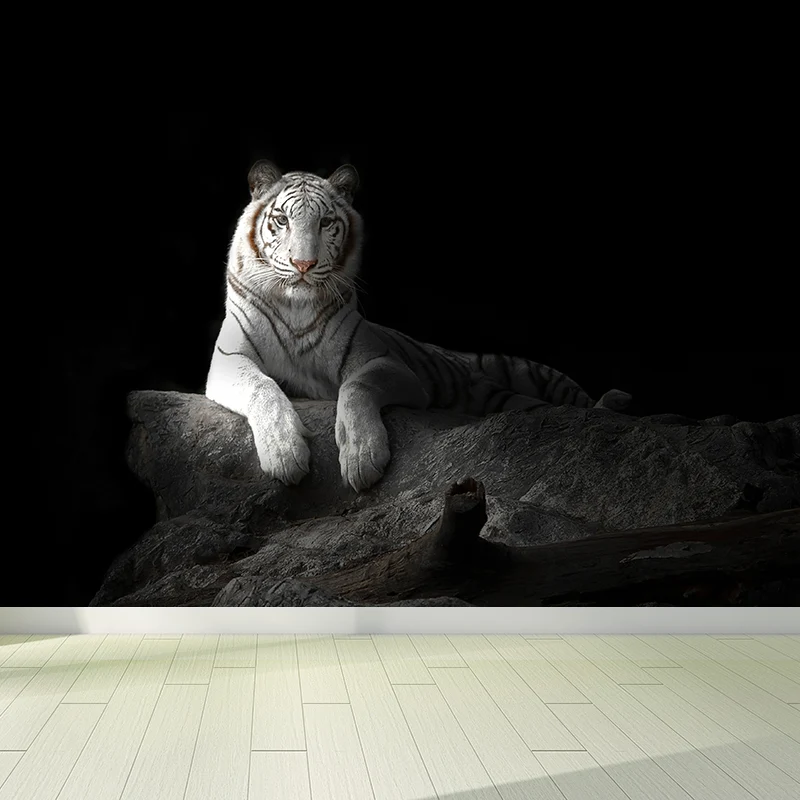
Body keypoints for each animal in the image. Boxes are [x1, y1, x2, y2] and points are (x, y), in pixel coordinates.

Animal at [206, 160, 632, 492]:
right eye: (281, 220)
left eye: (325, 222)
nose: (303, 265)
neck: (295, 305)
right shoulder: (228, 360)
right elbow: (263, 388)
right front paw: (285, 454)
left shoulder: (388, 364)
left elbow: (356, 387)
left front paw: (362, 456)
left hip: (533, 374)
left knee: (577, 402)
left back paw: (614, 403)